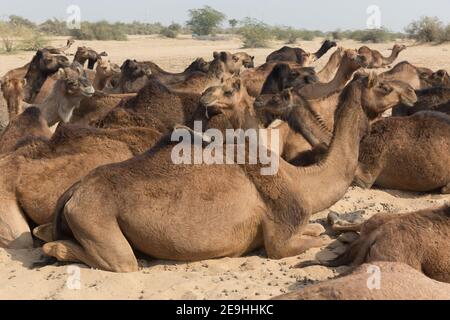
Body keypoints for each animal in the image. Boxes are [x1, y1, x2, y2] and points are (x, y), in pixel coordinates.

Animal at [37, 74, 412, 272]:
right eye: (384, 85)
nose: (410, 92)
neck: (301, 180)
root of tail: (73, 193)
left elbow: (320, 227)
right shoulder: (281, 239)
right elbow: (311, 241)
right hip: (96, 220)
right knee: (115, 259)